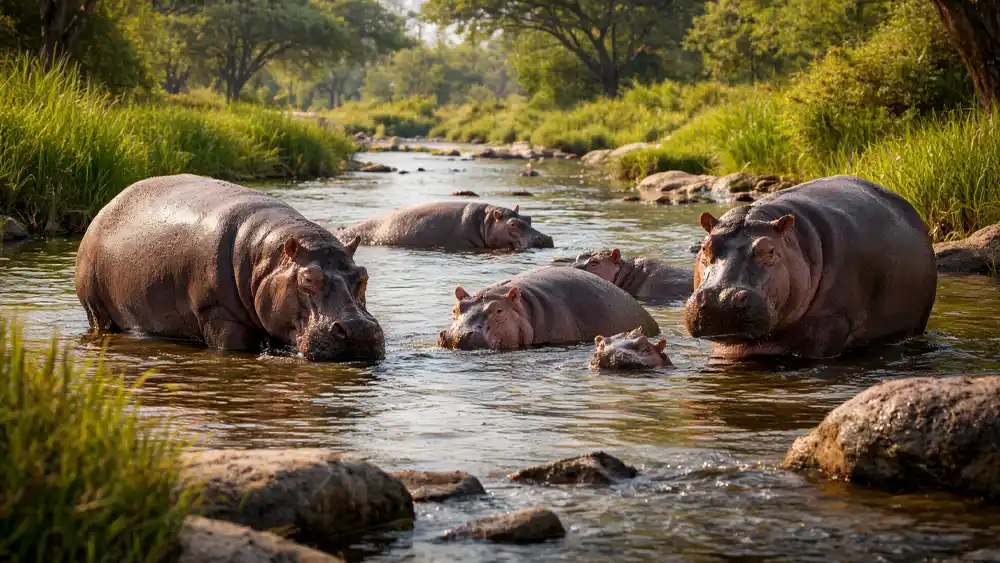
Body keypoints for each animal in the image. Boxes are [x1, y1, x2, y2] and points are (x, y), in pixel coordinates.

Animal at [75, 174, 384, 361]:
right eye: (308, 278)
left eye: (363, 276)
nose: (358, 329)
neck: (267, 259)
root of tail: (105, 207)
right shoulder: (217, 314)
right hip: (95, 308)